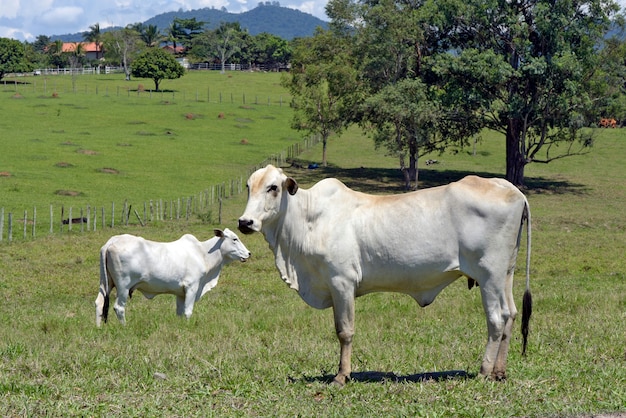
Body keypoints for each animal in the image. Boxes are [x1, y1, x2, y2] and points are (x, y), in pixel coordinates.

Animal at [94, 229, 250, 326]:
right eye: (235, 239)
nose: (248, 253)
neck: (203, 253)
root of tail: (112, 241)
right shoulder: (192, 287)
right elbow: (188, 312)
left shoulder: (181, 293)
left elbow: (180, 312)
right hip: (123, 286)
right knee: (119, 307)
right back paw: (125, 326)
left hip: (106, 283)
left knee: (99, 303)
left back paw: (98, 327)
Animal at [236, 166, 528, 386]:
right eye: (249, 187)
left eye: (273, 187)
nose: (245, 222)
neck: (308, 220)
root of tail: (512, 190)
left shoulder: (342, 283)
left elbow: (345, 331)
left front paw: (341, 376)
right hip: (506, 274)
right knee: (511, 314)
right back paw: (499, 372)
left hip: (489, 274)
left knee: (496, 319)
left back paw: (484, 371)